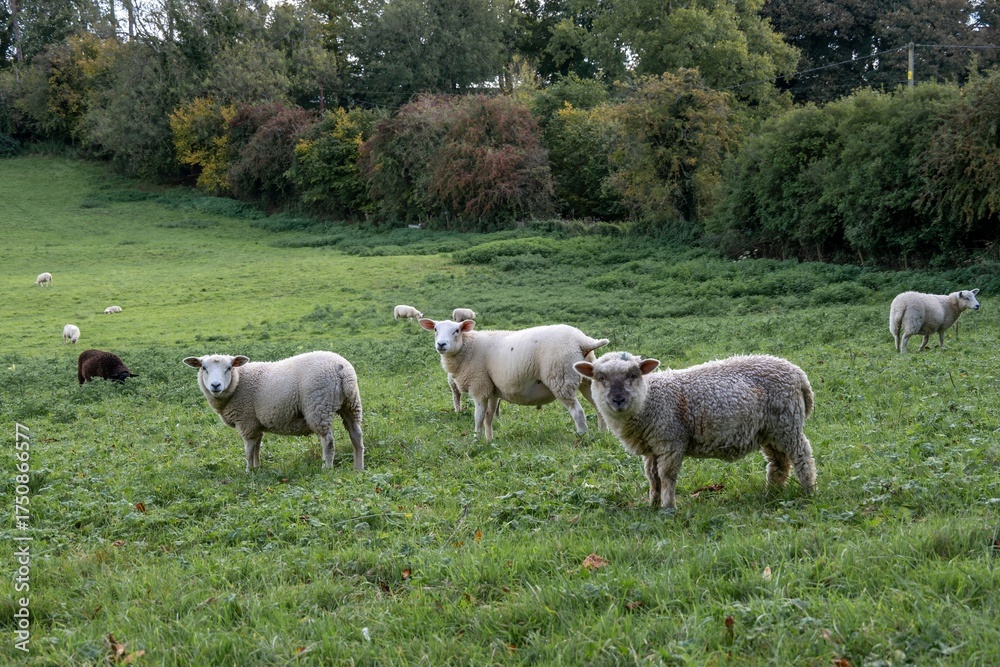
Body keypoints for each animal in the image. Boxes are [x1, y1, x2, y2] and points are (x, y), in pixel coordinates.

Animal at [183, 351, 364, 472]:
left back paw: (327, 468)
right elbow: (257, 447)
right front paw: (257, 468)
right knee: (356, 435)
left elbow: (248, 450)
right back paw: (358, 467)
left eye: (228, 368)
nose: (215, 385)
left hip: (318, 406)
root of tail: (341, 369)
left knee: (328, 441)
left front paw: (249, 471)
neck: (239, 382)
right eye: (204, 368)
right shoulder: (255, 424)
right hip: (351, 403)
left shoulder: (246, 421)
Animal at [419, 318, 608, 441]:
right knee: (598, 407)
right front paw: (489, 440)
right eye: (435, 330)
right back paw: (602, 432)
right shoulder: (491, 390)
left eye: (456, 331)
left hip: (560, 377)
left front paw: (476, 440)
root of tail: (583, 341)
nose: (441, 344)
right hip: (586, 380)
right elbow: (488, 417)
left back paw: (582, 435)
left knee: (577, 411)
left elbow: (478, 417)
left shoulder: (479, 386)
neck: (468, 348)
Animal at [575, 352, 816, 510]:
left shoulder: (670, 440)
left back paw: (809, 490)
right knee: (779, 463)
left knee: (802, 455)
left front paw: (668, 507)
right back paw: (772, 494)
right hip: (769, 431)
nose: (618, 399)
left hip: (787, 423)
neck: (650, 400)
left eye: (634, 375)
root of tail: (799, 375)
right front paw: (652, 504)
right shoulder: (651, 448)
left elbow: (667, 476)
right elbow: (653, 478)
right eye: (600, 377)